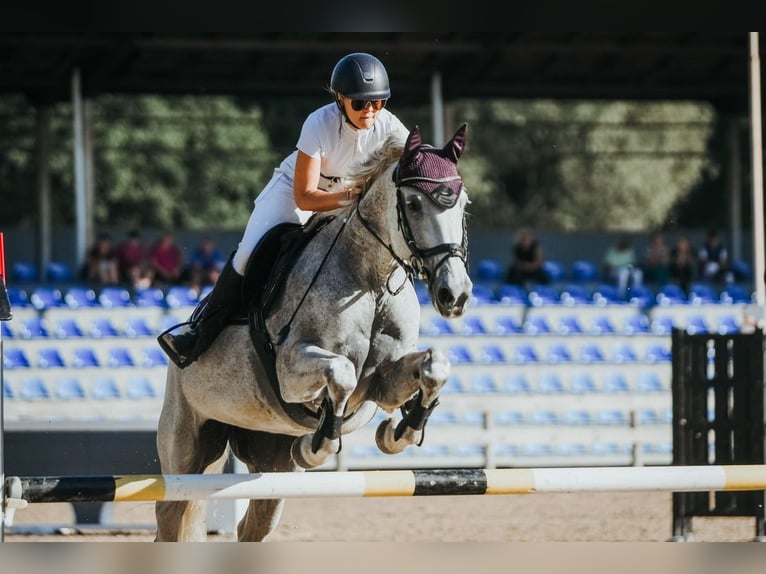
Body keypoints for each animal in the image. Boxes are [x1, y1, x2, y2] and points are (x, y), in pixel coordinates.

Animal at [154, 124, 473, 541]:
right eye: (415, 203)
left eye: (462, 204)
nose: (456, 294)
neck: (371, 281)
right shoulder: (291, 372)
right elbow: (342, 372)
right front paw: (316, 444)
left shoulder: (382, 383)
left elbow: (436, 366)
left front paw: (401, 430)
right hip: (186, 444)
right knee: (171, 513)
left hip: (268, 463)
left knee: (253, 524)